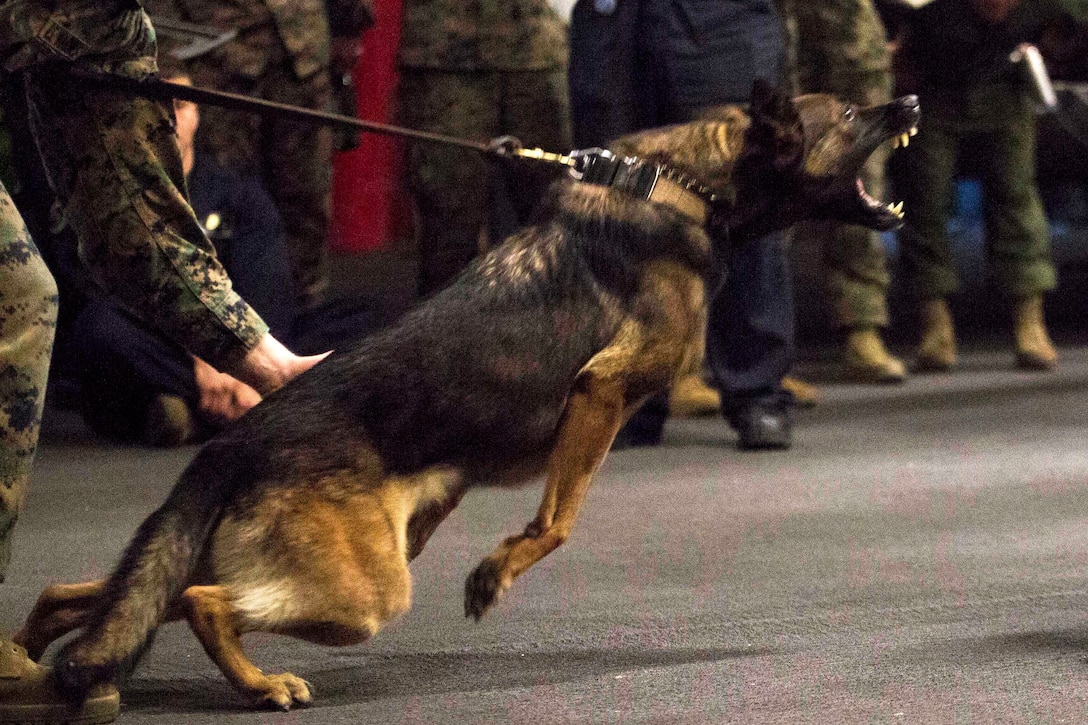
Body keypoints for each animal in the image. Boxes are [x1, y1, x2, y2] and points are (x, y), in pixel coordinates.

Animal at [14, 81, 918, 709]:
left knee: (98, 594)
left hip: (281, 555)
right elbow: (557, 520)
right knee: (203, 602)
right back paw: (260, 683)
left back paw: (31, 653)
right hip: (363, 588)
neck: (684, 182)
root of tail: (241, 437)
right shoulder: (602, 390)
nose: (909, 98)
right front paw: (494, 572)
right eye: (848, 113)